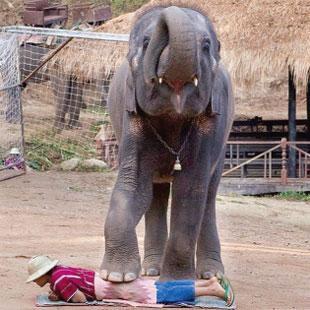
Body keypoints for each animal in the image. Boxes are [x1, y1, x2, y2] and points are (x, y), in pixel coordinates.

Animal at [101, 4, 235, 284]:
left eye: (206, 46)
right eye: (146, 43)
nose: (167, 7)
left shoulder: (210, 124)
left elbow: (190, 189)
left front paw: (176, 283)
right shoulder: (132, 117)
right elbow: (133, 186)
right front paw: (117, 276)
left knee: (208, 195)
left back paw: (211, 273)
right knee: (155, 195)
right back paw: (152, 270)